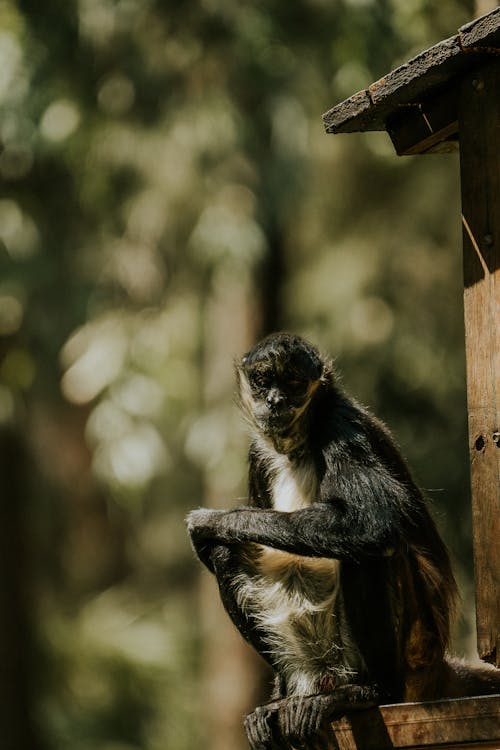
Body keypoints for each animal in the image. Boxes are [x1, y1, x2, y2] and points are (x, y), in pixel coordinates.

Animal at [185, 334, 500, 750]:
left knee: (368, 549)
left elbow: (376, 523)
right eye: (263, 380)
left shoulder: (342, 425)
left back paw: (370, 692)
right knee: (225, 552)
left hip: (413, 648)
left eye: (293, 383)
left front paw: (215, 521)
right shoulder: (256, 454)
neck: (299, 446)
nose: (275, 401)